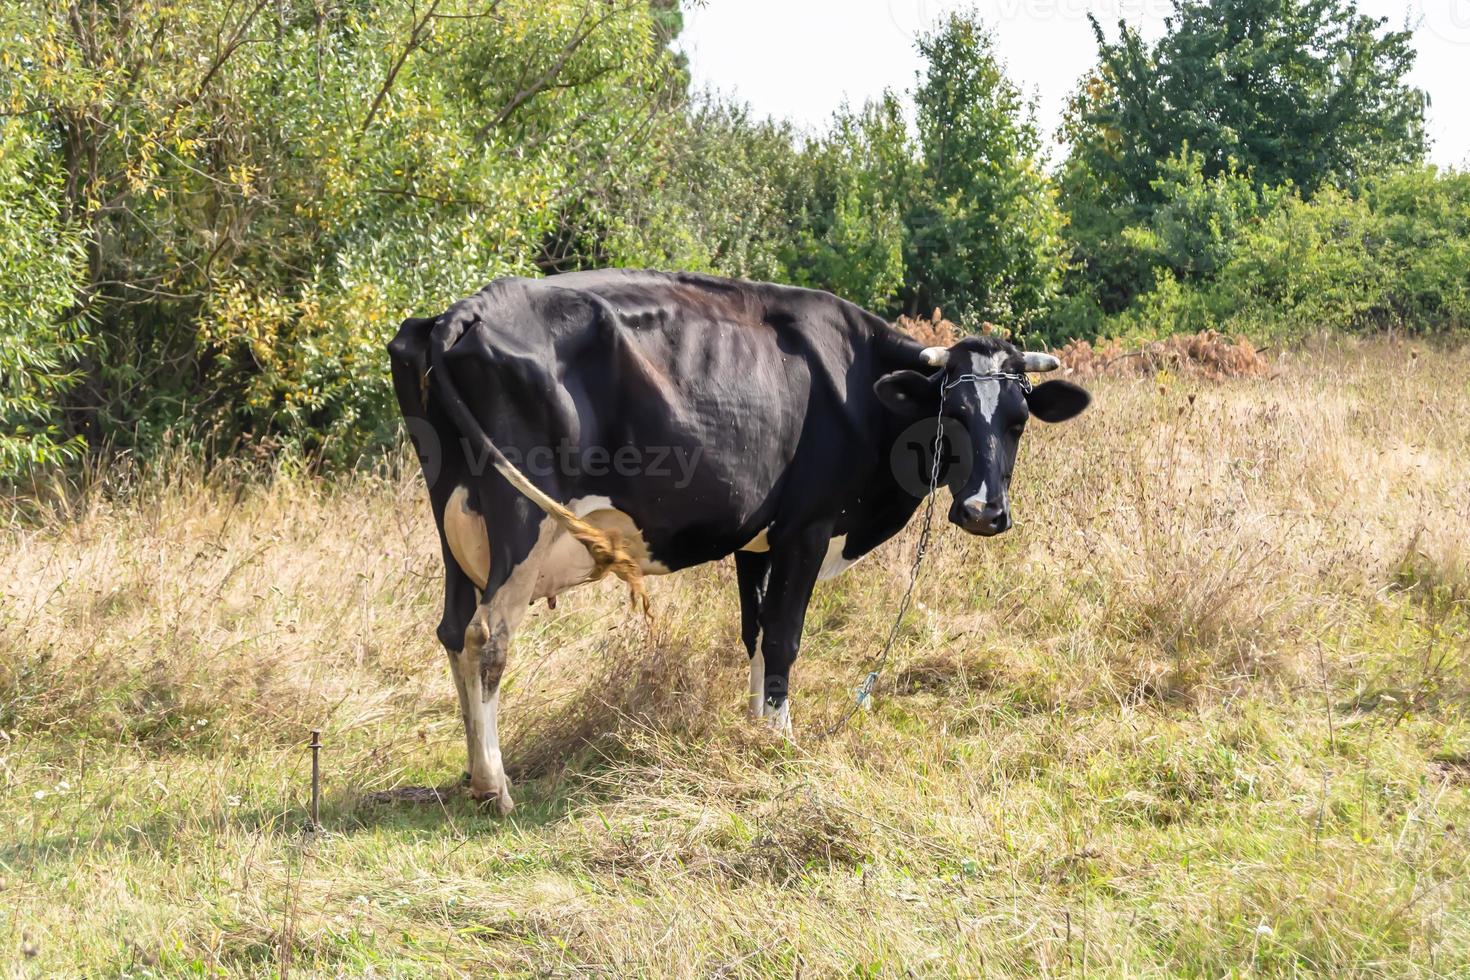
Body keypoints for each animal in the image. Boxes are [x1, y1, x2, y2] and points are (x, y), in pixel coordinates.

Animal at [385, 268, 1087, 811]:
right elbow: (784, 635)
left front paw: (754, 726)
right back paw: (494, 786)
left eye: (1019, 420)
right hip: (520, 522)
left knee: (453, 631)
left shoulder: (759, 540)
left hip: (457, 526)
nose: (983, 511)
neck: (861, 386)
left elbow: (755, 631)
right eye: (954, 412)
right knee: (487, 635)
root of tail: (464, 311)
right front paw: (780, 739)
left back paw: (471, 771)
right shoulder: (806, 528)